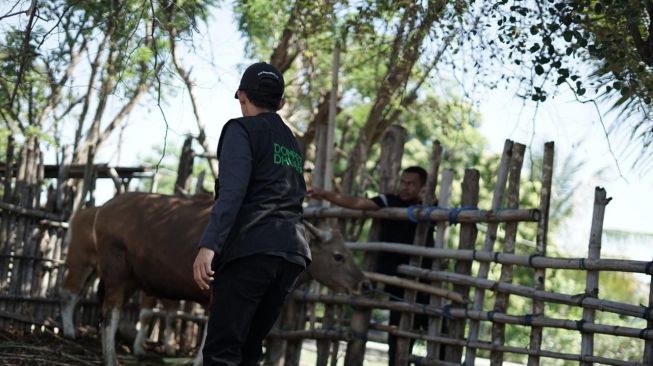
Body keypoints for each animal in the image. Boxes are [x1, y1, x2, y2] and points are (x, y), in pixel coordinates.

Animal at [83, 193, 366, 364]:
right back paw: (110, 359)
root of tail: (106, 207)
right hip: (115, 272)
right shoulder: (220, 294)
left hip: (130, 279)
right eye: (339, 256)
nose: (365, 283)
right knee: (110, 313)